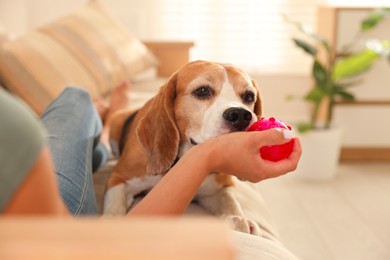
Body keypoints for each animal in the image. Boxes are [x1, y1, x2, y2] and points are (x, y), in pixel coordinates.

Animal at [103, 61, 262, 236]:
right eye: (202, 91)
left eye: (249, 96)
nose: (240, 116)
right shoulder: (118, 178)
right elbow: (114, 206)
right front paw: (109, 222)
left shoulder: (218, 188)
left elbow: (229, 199)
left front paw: (239, 219)